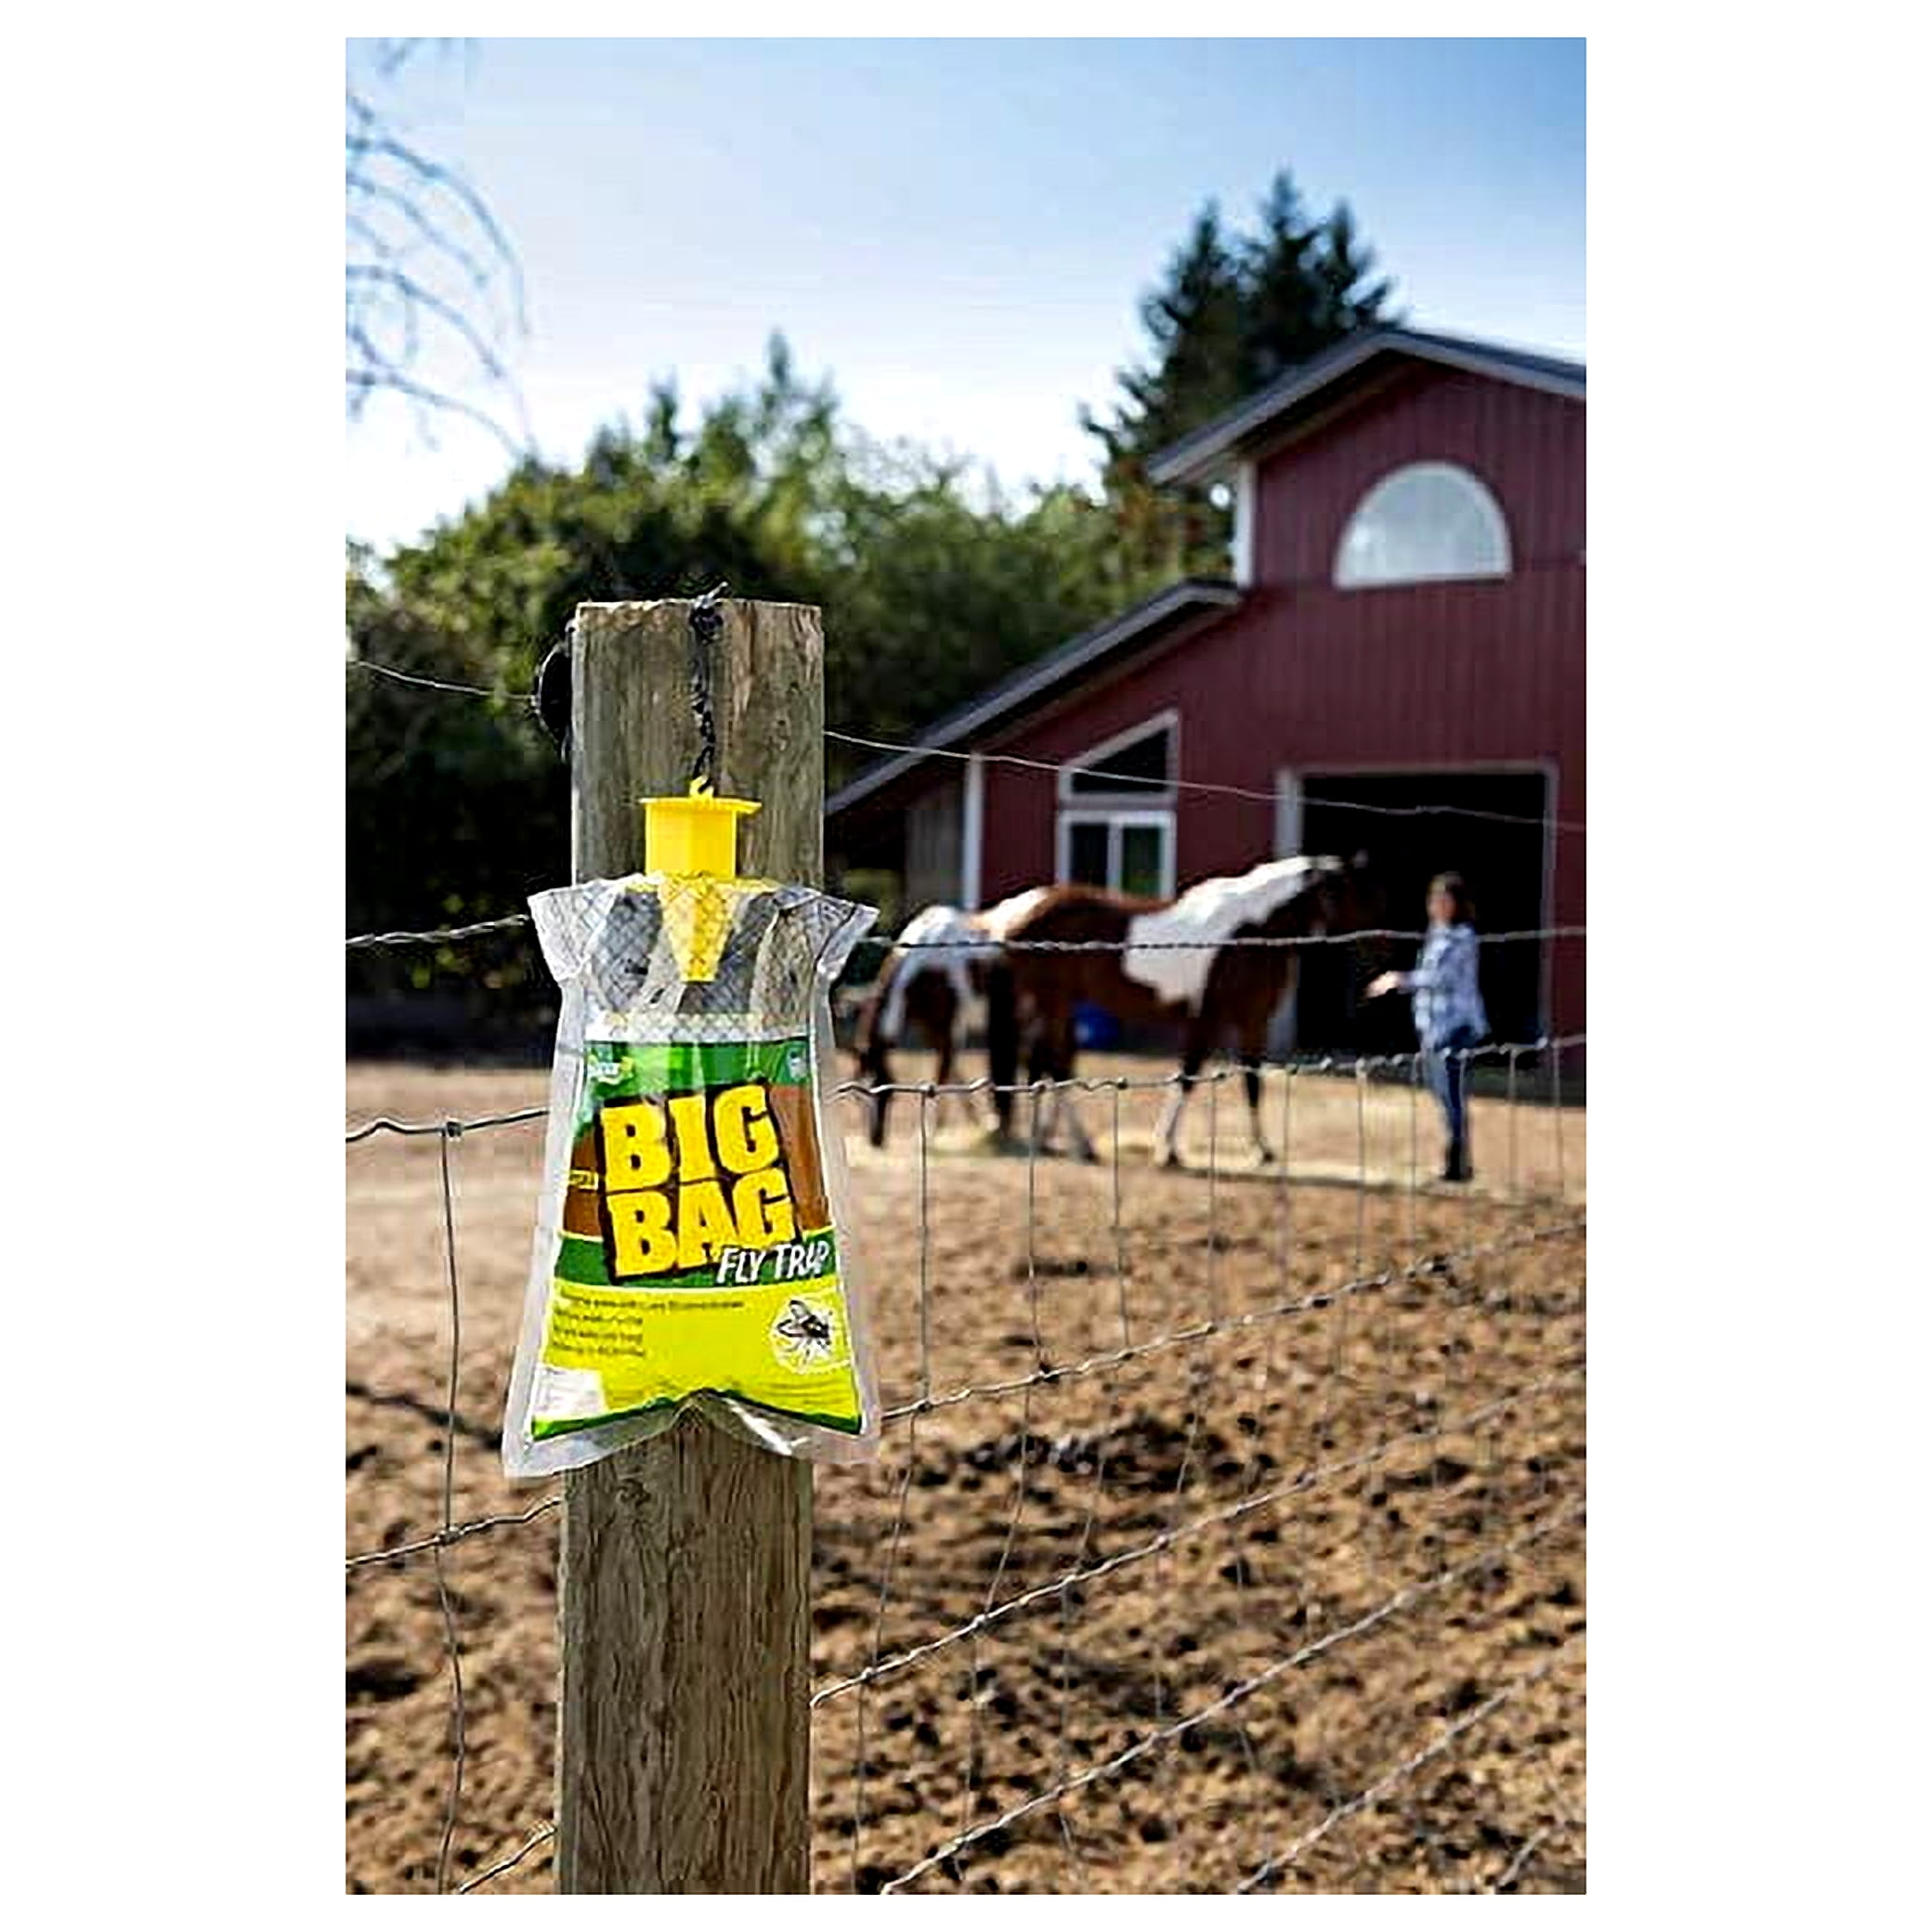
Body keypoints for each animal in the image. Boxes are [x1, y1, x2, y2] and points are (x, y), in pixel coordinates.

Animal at [984, 854, 1387, 1166]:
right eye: (1357, 897)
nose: (1382, 953)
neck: (1252, 932)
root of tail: (1018, 912)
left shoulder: (1254, 1021)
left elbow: (1252, 1081)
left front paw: (1263, 1150)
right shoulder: (1207, 1019)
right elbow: (1189, 1076)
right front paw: (1168, 1150)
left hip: (1058, 1003)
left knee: (1044, 1062)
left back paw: (1048, 1138)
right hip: (1052, 1000)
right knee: (1054, 1063)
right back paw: (1079, 1145)